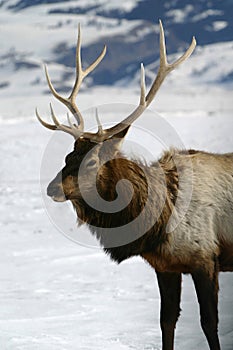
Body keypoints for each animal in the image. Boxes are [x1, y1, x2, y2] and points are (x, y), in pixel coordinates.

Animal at [36, 21, 233, 350]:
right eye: (67, 156)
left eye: (91, 161)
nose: (52, 189)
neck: (160, 221)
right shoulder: (166, 267)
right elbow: (166, 322)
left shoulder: (205, 258)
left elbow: (209, 324)